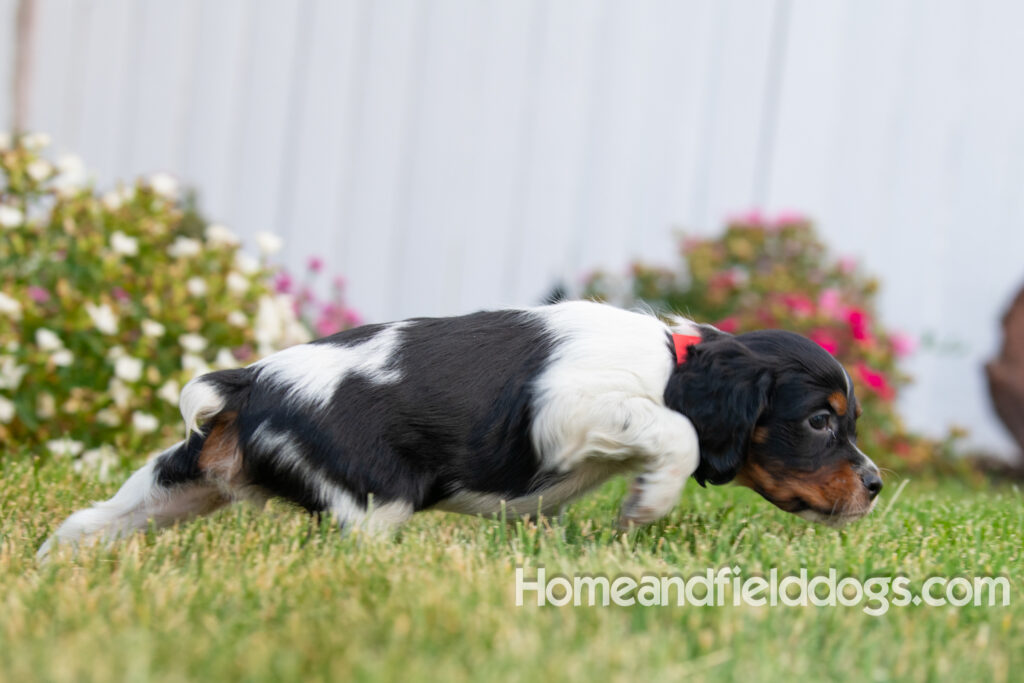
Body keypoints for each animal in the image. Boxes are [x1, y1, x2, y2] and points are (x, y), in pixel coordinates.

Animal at [41, 301, 880, 557]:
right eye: (819, 420)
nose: (874, 485)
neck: (672, 360)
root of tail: (253, 383)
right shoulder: (574, 408)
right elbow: (674, 430)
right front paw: (645, 504)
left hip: (178, 481)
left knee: (88, 521)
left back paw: (53, 568)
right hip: (372, 500)